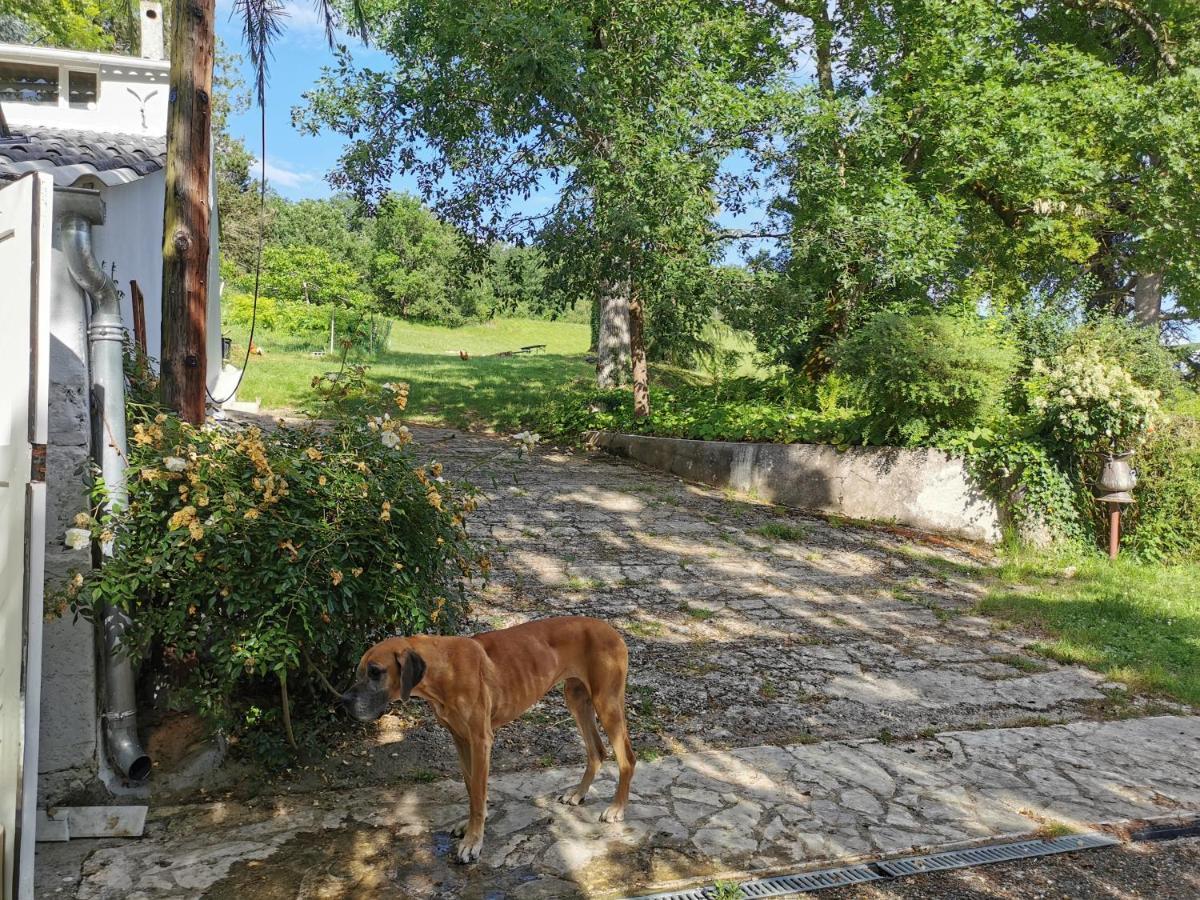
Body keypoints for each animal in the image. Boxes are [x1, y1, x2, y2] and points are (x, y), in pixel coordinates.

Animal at [343, 619, 633, 864]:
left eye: (375, 672)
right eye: (359, 672)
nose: (343, 701)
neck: (444, 668)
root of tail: (612, 630)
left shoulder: (480, 740)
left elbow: (478, 790)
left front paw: (473, 841)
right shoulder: (460, 739)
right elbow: (471, 788)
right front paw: (470, 826)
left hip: (606, 703)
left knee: (627, 758)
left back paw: (616, 809)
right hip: (576, 698)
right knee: (596, 750)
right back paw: (578, 793)